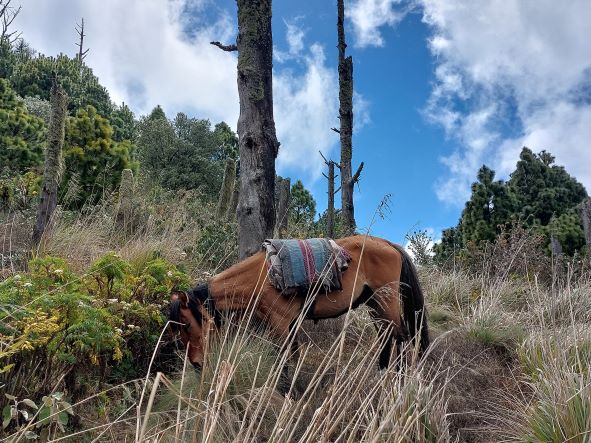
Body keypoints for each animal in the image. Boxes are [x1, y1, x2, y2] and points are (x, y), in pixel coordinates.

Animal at [169, 236, 428, 372]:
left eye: (187, 325)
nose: (196, 364)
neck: (261, 277)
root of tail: (387, 243)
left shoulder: (281, 325)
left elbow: (284, 361)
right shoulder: (291, 325)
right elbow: (292, 357)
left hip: (386, 301)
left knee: (402, 336)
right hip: (375, 303)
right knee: (387, 335)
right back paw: (382, 371)